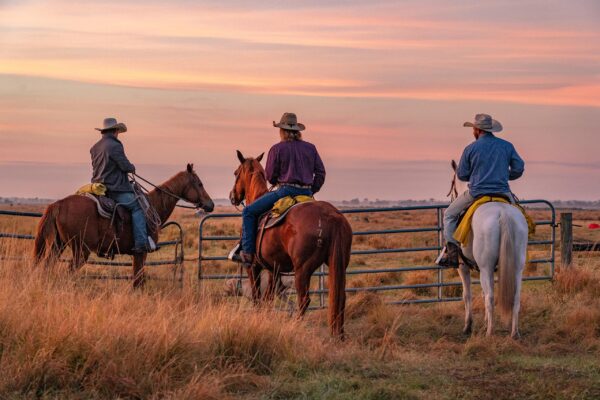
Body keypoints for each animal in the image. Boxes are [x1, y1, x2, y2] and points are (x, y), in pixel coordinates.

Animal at [34, 163, 214, 288]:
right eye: (199, 183)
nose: (210, 205)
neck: (153, 205)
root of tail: (58, 204)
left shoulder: (137, 254)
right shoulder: (141, 252)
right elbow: (138, 280)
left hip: (58, 245)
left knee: (47, 267)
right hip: (80, 250)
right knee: (68, 271)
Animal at [229, 151, 352, 338]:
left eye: (236, 173)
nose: (232, 196)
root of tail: (332, 216)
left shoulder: (253, 266)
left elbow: (257, 297)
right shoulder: (274, 269)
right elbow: (268, 298)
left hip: (302, 269)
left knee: (304, 299)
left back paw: (296, 325)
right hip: (339, 263)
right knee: (340, 297)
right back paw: (339, 335)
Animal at [448, 159, 528, 338]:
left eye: (452, 182)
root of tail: (503, 214)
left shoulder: (463, 267)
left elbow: (467, 295)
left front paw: (468, 326)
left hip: (486, 267)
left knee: (490, 298)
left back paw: (489, 333)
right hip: (517, 266)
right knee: (516, 297)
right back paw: (514, 333)